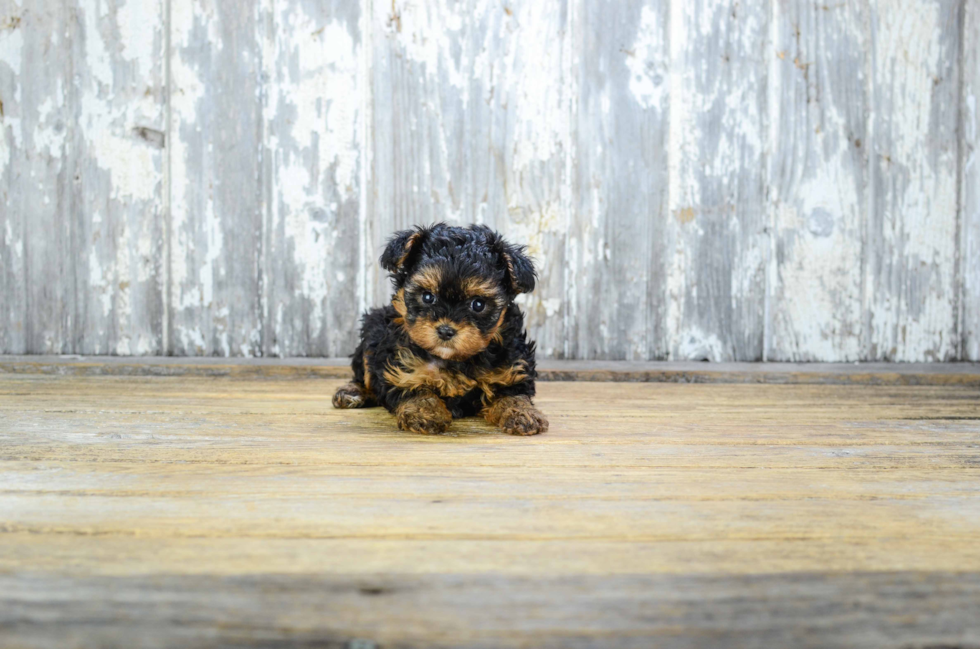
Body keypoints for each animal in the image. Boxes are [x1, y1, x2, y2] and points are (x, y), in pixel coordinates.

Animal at [334, 223, 552, 436]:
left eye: (478, 304)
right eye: (427, 297)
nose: (446, 331)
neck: (454, 359)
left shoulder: (511, 367)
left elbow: (513, 394)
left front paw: (522, 413)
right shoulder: (399, 369)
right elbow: (415, 389)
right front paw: (426, 412)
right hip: (372, 329)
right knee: (364, 373)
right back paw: (352, 391)